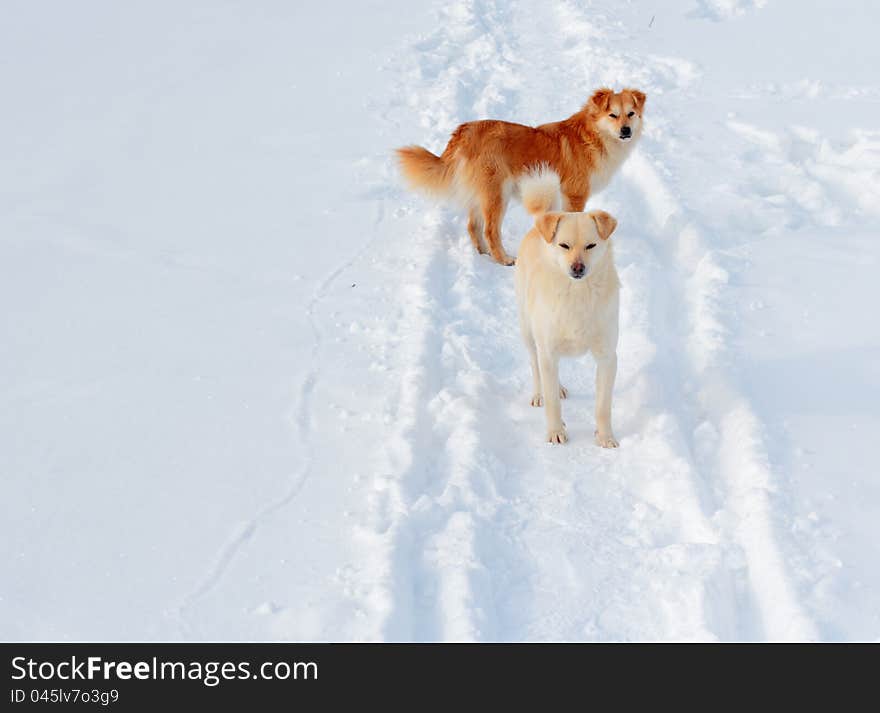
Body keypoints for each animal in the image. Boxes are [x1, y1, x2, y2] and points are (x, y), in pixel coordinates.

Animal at [516, 168, 620, 444]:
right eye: (564, 245)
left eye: (591, 245)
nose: (578, 268)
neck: (578, 294)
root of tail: (541, 221)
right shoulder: (548, 349)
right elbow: (553, 402)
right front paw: (555, 432)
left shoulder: (607, 356)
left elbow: (603, 405)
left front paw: (605, 437)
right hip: (528, 333)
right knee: (536, 367)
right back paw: (539, 394)